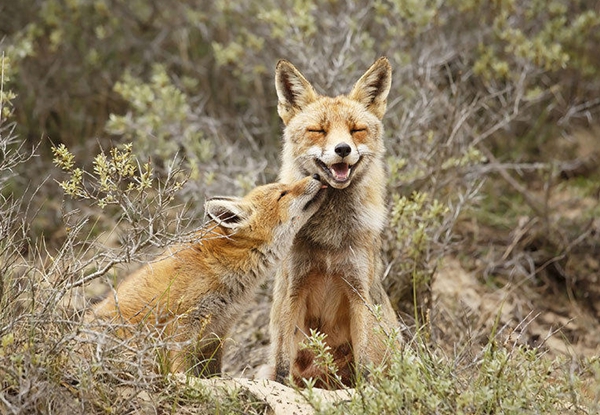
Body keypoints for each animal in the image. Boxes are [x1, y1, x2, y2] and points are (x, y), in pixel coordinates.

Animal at [86, 176, 326, 376]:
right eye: (283, 193)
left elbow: (214, 373)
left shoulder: (218, 332)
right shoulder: (183, 326)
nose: (316, 175)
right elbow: (181, 370)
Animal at [268, 57, 398, 388]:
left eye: (356, 130)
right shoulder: (294, 288)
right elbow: (282, 366)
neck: (329, 235)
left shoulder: (358, 291)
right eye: (318, 130)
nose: (342, 149)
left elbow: (366, 364)